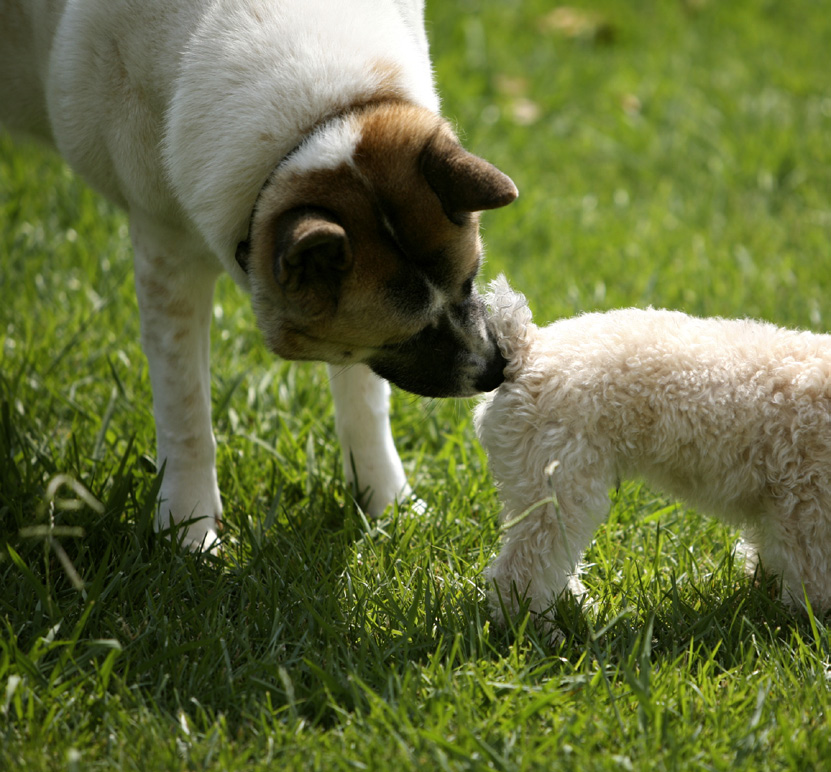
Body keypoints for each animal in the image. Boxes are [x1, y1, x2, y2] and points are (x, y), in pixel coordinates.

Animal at [1, 3, 520, 552]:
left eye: (470, 281)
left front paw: (389, 506)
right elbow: (185, 409)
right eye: (409, 335)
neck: (316, 119)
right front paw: (190, 532)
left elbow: (363, 400)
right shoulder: (164, 247)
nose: (496, 372)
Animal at [474, 278, 831, 628]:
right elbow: (814, 575)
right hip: (558, 481)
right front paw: (812, 620)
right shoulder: (808, 504)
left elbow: (769, 553)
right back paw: (539, 628)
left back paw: (574, 608)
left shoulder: (783, 503)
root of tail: (526, 348)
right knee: (520, 570)